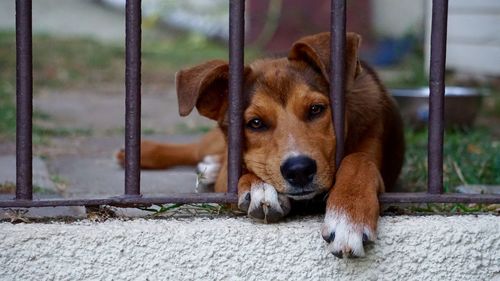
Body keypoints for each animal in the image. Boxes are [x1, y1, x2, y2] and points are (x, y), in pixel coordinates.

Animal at [115, 31, 404, 258]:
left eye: (316, 109)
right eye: (255, 123)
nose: (299, 170)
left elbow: (358, 160)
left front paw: (348, 217)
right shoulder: (228, 177)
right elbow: (244, 172)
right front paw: (259, 187)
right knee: (196, 149)